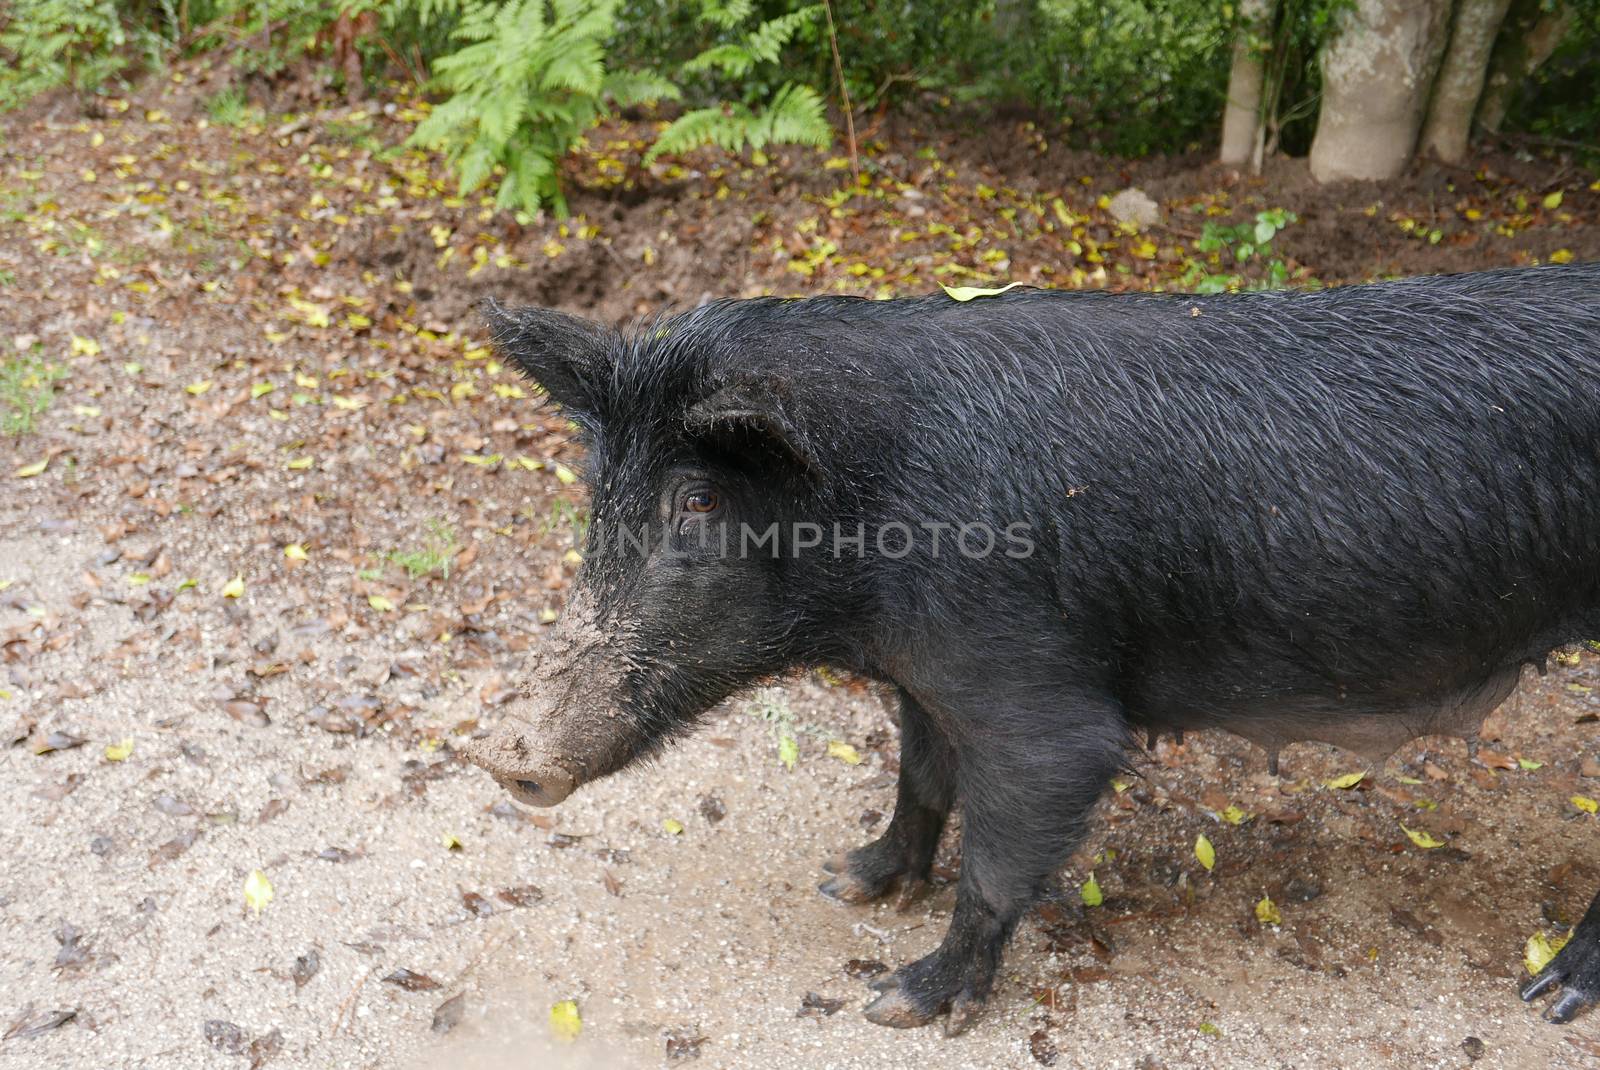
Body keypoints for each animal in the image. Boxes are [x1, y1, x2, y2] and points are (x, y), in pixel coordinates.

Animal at [470, 262, 1600, 1030]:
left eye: (699, 500)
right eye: (600, 493)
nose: (502, 755)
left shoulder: (1041, 703)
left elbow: (1001, 859)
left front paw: (898, 1001)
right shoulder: (926, 680)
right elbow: (919, 779)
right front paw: (849, 879)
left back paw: (1546, 995)